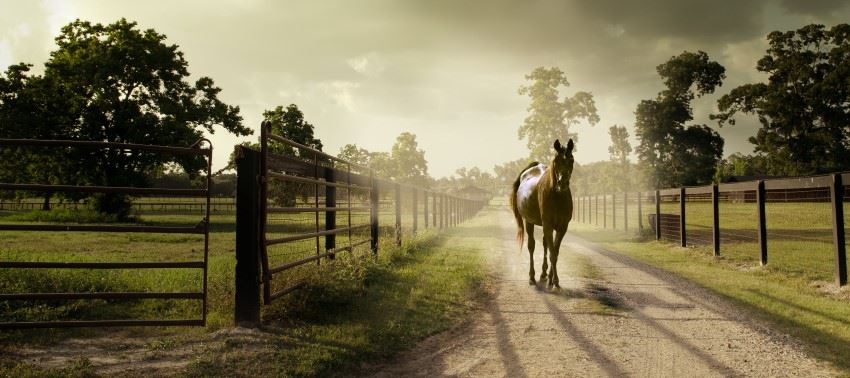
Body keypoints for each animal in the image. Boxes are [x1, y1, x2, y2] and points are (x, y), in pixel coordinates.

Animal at [506, 140, 572, 288]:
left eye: (571, 160)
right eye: (556, 161)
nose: (562, 183)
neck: (557, 197)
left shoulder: (562, 227)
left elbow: (555, 252)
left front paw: (551, 279)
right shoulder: (548, 225)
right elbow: (553, 254)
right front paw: (555, 282)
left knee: (544, 244)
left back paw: (543, 274)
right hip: (529, 222)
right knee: (531, 246)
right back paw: (532, 277)